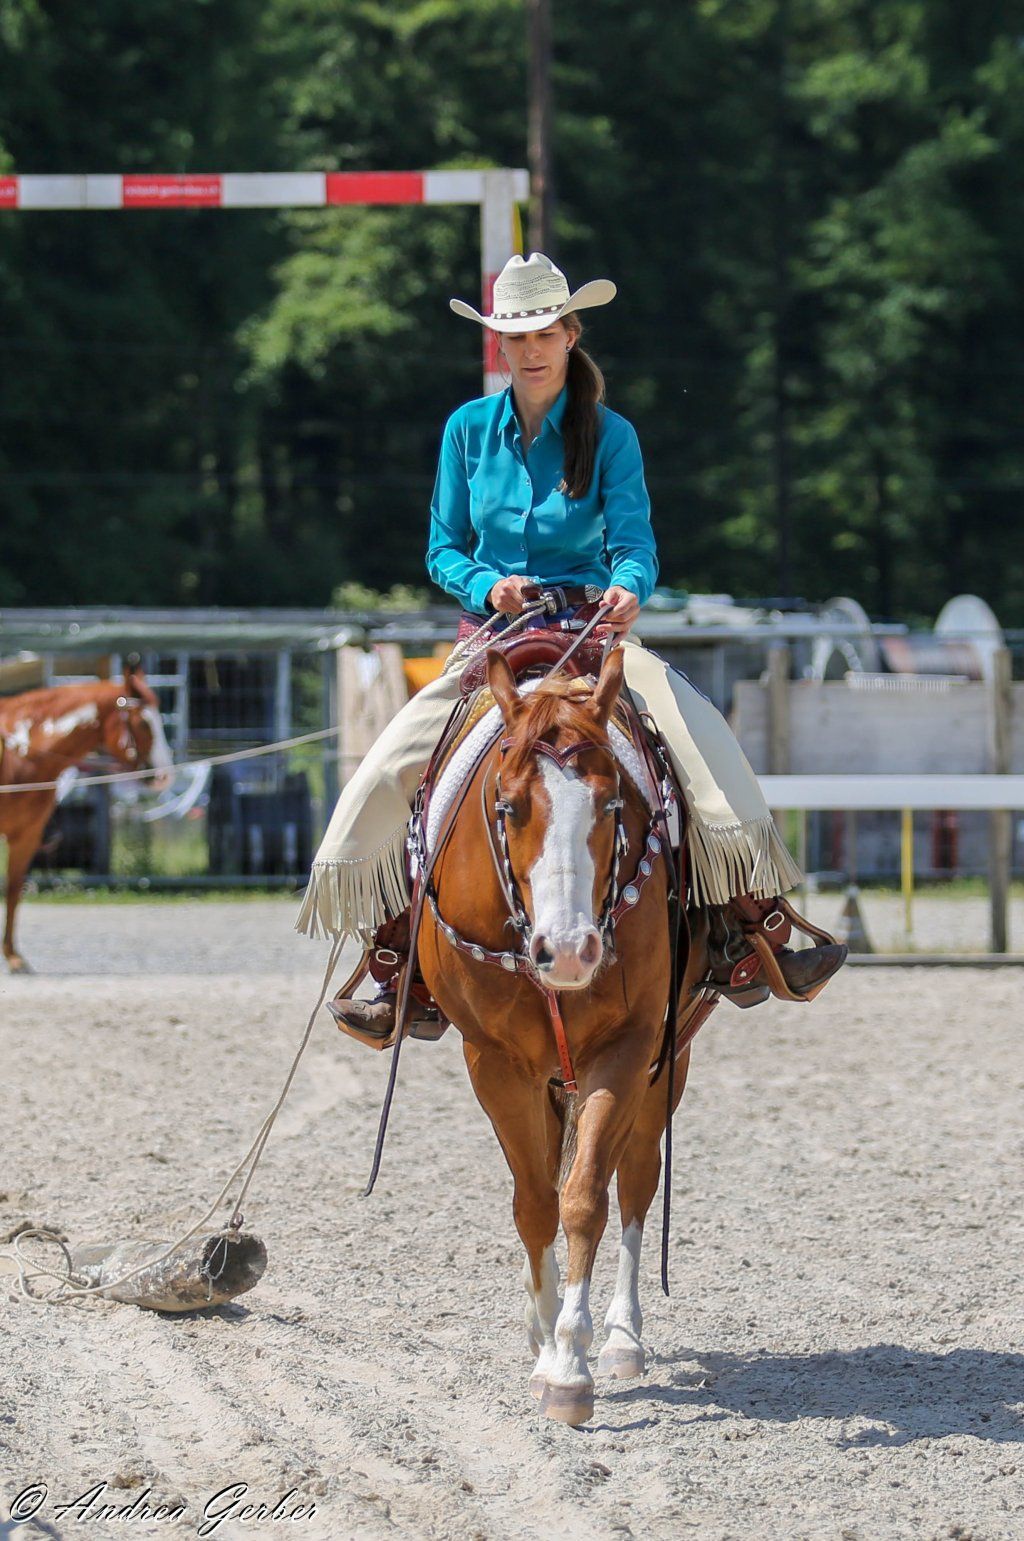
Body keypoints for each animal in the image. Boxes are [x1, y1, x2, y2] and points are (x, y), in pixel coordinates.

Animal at [0, 662, 173, 972]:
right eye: (143, 723)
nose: (165, 774)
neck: (21, 750)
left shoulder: (27, 835)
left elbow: (13, 889)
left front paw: (13, 955)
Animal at [416, 643, 702, 1425]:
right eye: (509, 806)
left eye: (610, 805)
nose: (570, 951)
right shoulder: (494, 1061)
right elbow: (535, 1200)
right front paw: (545, 1339)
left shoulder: (630, 1048)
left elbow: (584, 1196)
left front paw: (571, 1365)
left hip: (669, 1059)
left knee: (636, 1178)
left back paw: (623, 1338)